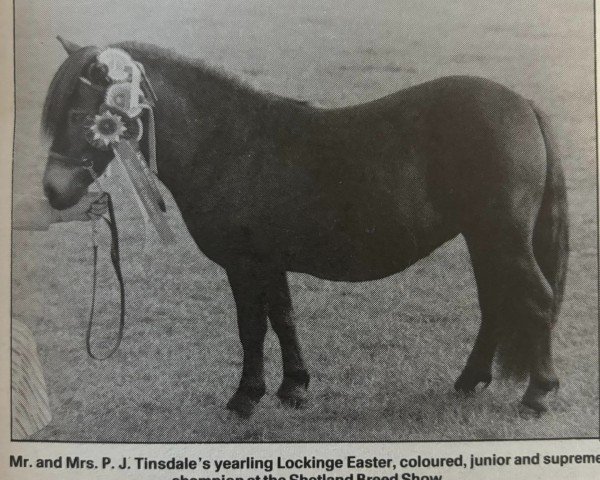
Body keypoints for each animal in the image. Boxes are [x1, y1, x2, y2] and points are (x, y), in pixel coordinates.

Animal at [41, 38, 568, 416]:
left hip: (503, 238)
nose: (54, 191)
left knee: (537, 299)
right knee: (496, 304)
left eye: (82, 115)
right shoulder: (269, 263)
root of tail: (522, 104)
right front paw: (294, 388)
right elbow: (283, 319)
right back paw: (469, 381)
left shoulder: (244, 265)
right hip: (484, 238)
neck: (228, 145)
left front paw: (245, 397)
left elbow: (252, 328)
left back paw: (538, 394)